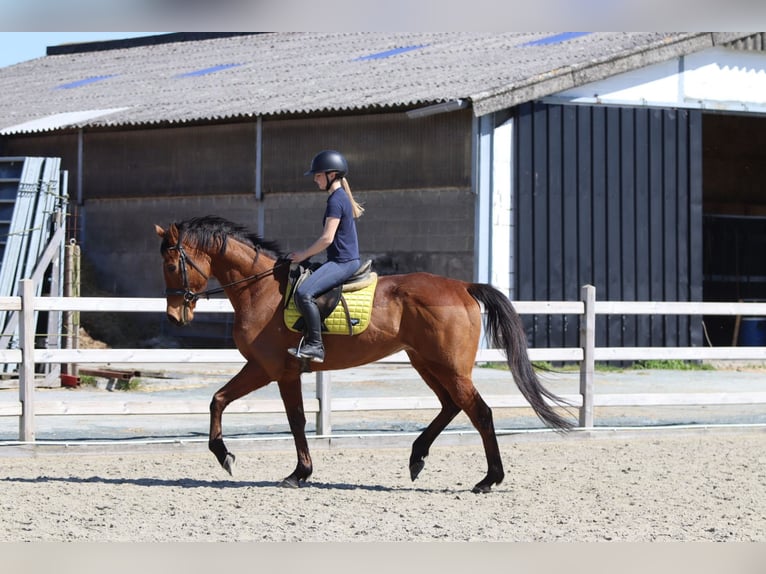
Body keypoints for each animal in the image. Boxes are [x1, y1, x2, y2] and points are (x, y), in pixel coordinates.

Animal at [155, 215, 573, 493]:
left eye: (173, 265)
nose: (175, 316)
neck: (261, 290)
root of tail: (463, 286)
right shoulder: (263, 367)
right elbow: (218, 400)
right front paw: (226, 454)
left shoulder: (275, 369)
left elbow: (294, 420)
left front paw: (296, 472)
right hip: (425, 362)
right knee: (451, 406)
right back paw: (417, 457)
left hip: (449, 367)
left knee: (480, 412)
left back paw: (489, 479)